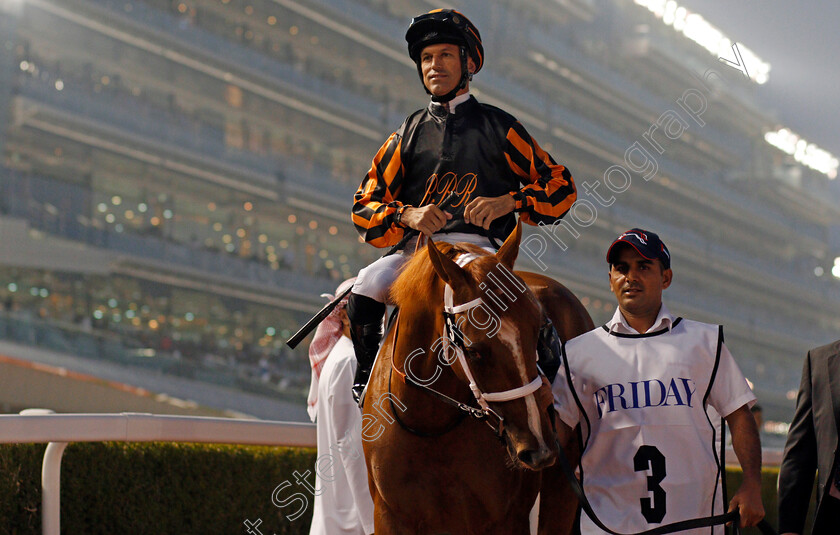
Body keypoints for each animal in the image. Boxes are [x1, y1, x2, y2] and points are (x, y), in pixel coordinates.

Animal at [364, 226, 592, 535]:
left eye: (539, 331)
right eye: (473, 350)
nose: (539, 446)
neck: (429, 425)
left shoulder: (505, 518)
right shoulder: (390, 515)